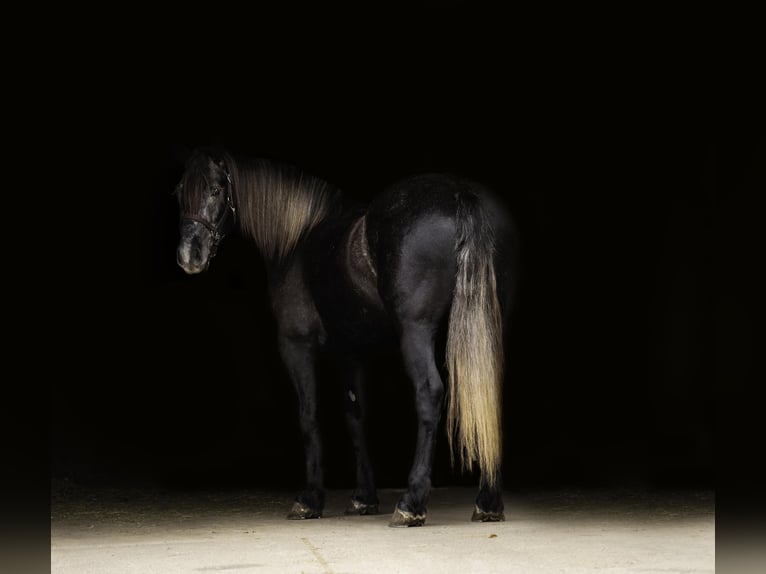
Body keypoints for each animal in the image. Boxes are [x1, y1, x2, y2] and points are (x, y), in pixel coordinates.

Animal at [173, 146, 518, 527]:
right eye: (179, 193)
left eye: (217, 189)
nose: (190, 256)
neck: (297, 241)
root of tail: (460, 195)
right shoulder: (350, 351)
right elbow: (355, 416)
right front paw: (363, 498)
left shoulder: (296, 345)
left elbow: (309, 416)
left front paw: (309, 500)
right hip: (488, 327)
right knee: (488, 393)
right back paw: (488, 502)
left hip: (416, 330)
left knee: (430, 393)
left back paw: (411, 504)